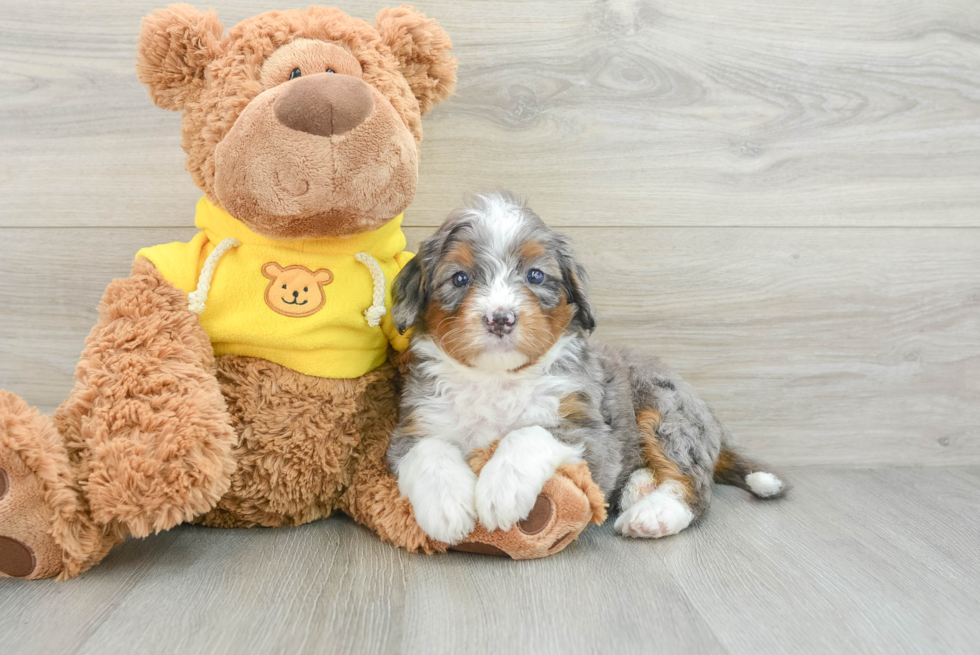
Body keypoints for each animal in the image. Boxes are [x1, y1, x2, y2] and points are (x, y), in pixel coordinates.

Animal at [386, 191, 784, 544]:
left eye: (535, 276)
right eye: (460, 278)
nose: (500, 319)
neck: (497, 378)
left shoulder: (593, 435)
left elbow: (529, 434)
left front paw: (501, 489)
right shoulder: (416, 423)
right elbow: (428, 450)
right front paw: (446, 507)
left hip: (665, 410)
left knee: (694, 484)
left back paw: (653, 513)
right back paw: (639, 488)